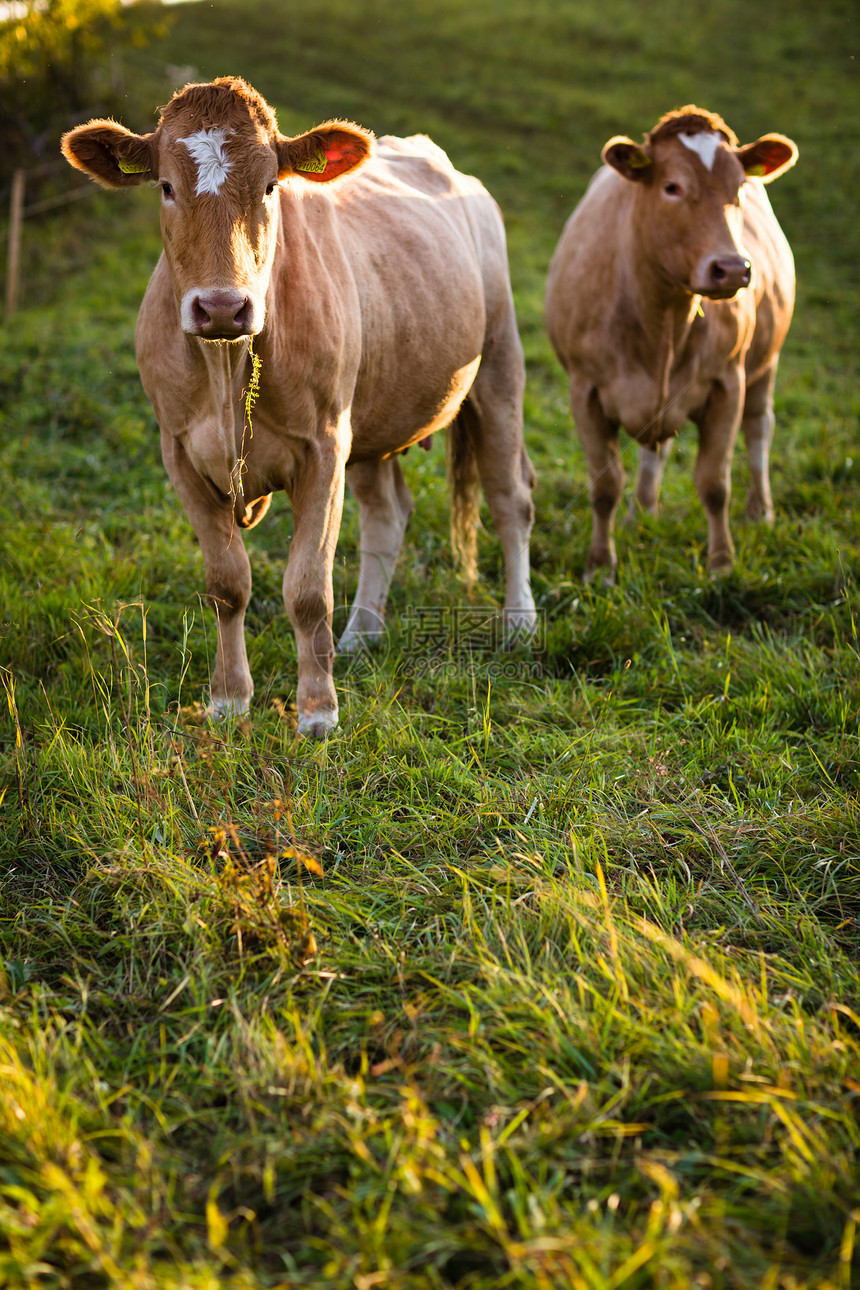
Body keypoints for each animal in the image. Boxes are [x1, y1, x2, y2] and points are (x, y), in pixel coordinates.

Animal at [60, 78, 533, 737]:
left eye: (269, 186)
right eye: (166, 186)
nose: (222, 307)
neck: (226, 368)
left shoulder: (324, 447)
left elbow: (308, 589)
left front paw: (318, 710)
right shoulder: (178, 452)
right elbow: (227, 584)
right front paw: (229, 699)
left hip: (499, 367)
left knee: (511, 498)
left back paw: (519, 622)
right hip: (373, 416)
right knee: (388, 515)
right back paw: (361, 633)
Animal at [549, 105, 799, 580]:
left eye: (738, 187)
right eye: (672, 187)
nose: (732, 268)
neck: (660, 316)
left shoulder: (728, 383)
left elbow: (714, 483)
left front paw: (722, 562)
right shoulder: (584, 391)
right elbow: (605, 486)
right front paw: (600, 566)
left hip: (767, 363)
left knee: (760, 429)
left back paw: (761, 510)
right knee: (656, 449)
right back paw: (641, 513)